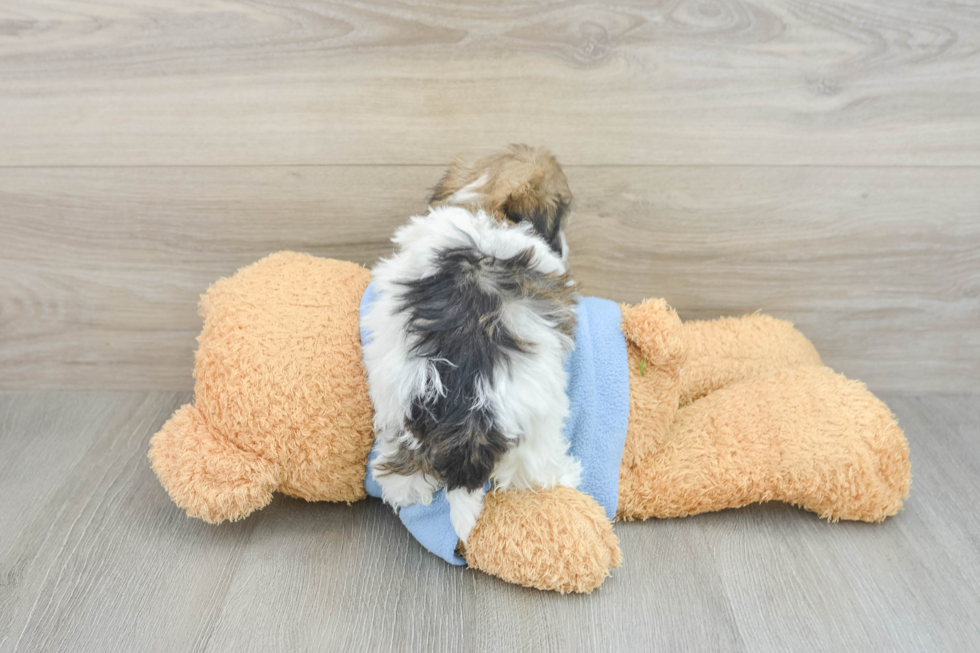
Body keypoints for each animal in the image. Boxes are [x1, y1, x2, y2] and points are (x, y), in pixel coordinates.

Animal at [366, 145, 580, 544]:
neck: (487, 206)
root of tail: (468, 417)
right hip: (536, 429)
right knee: (532, 472)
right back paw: (566, 476)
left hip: (396, 413)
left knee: (402, 477)